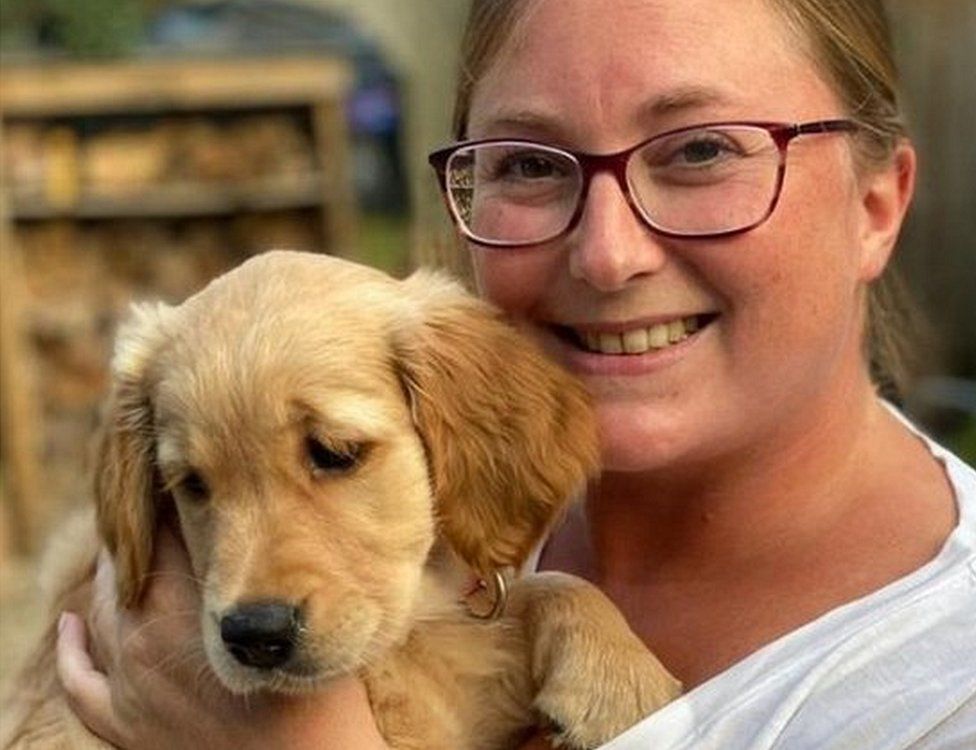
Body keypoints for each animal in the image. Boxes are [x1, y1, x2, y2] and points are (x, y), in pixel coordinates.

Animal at [1, 253, 680, 750]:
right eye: (191, 483)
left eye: (334, 452)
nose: (255, 636)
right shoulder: (417, 701)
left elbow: (544, 587)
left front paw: (621, 682)